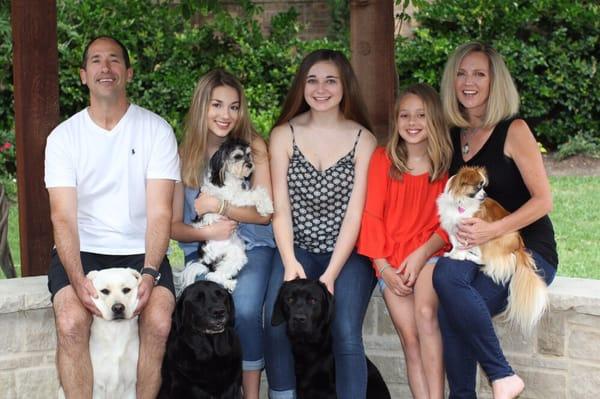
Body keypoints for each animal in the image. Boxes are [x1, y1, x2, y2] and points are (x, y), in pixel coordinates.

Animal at [58, 268, 143, 399]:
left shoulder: (130, 385)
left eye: (126, 290)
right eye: (105, 291)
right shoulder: (98, 387)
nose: (118, 308)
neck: (116, 330)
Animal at [177, 138, 274, 294]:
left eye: (249, 154)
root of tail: (205, 262)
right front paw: (266, 206)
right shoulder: (234, 197)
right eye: (238, 156)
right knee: (212, 275)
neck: (229, 176)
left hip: (237, 252)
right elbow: (254, 194)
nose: (250, 164)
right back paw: (230, 284)